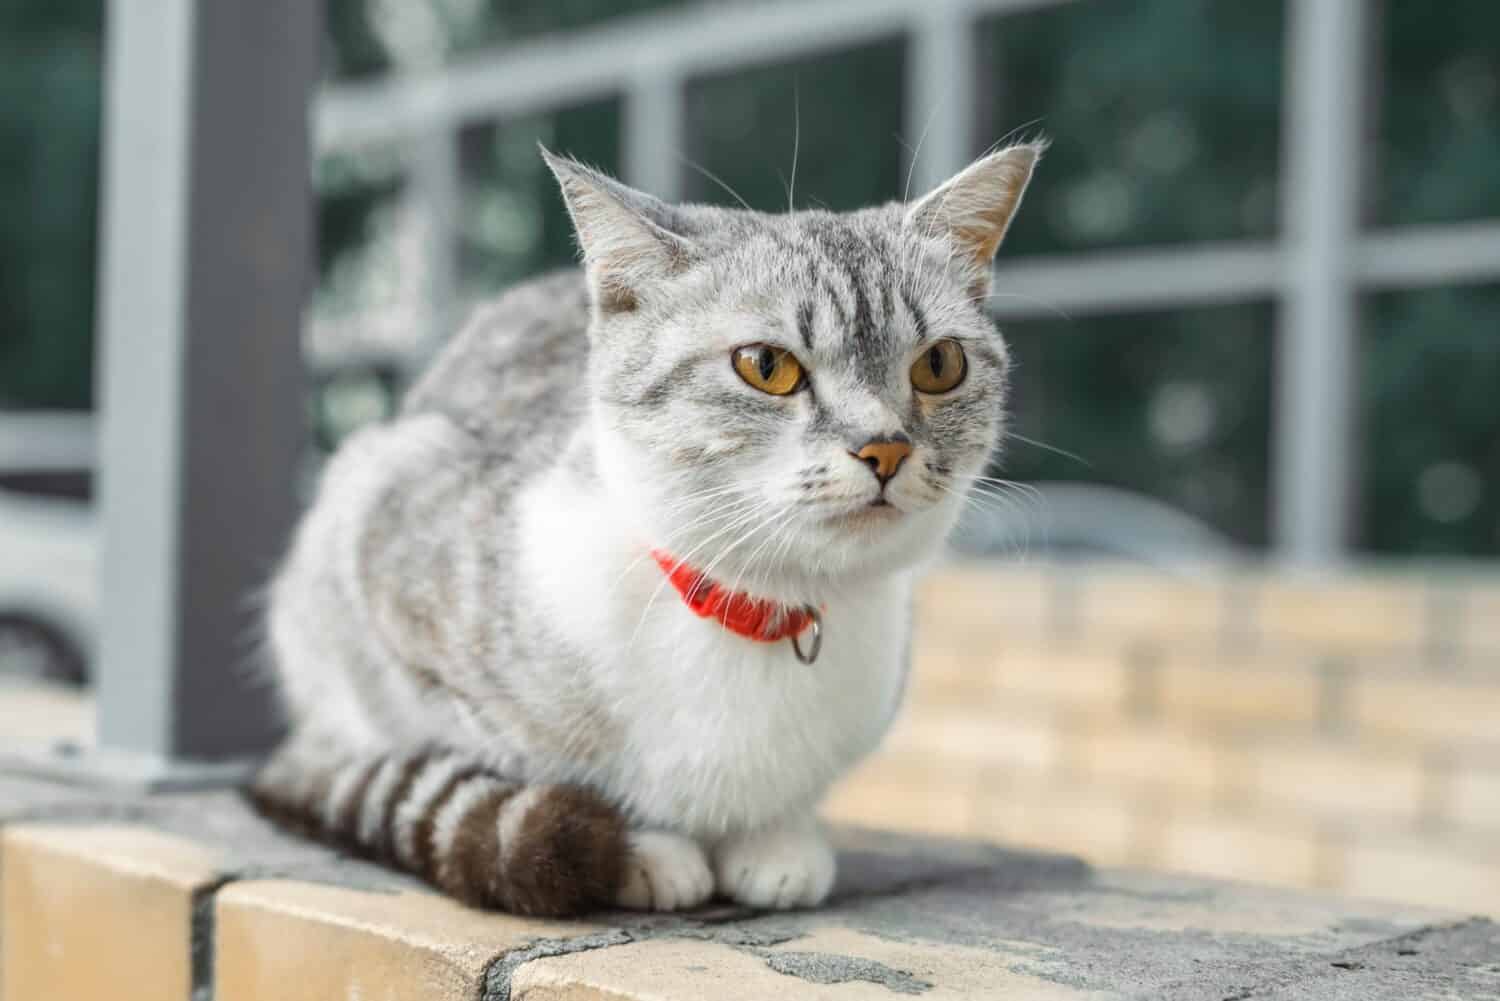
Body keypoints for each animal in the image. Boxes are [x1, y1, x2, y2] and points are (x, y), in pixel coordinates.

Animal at [249, 141, 1044, 918]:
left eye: (939, 364)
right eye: (767, 366)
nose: (885, 448)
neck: (756, 610)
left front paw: (776, 842)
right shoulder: (390, 546)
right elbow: (520, 754)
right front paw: (648, 848)